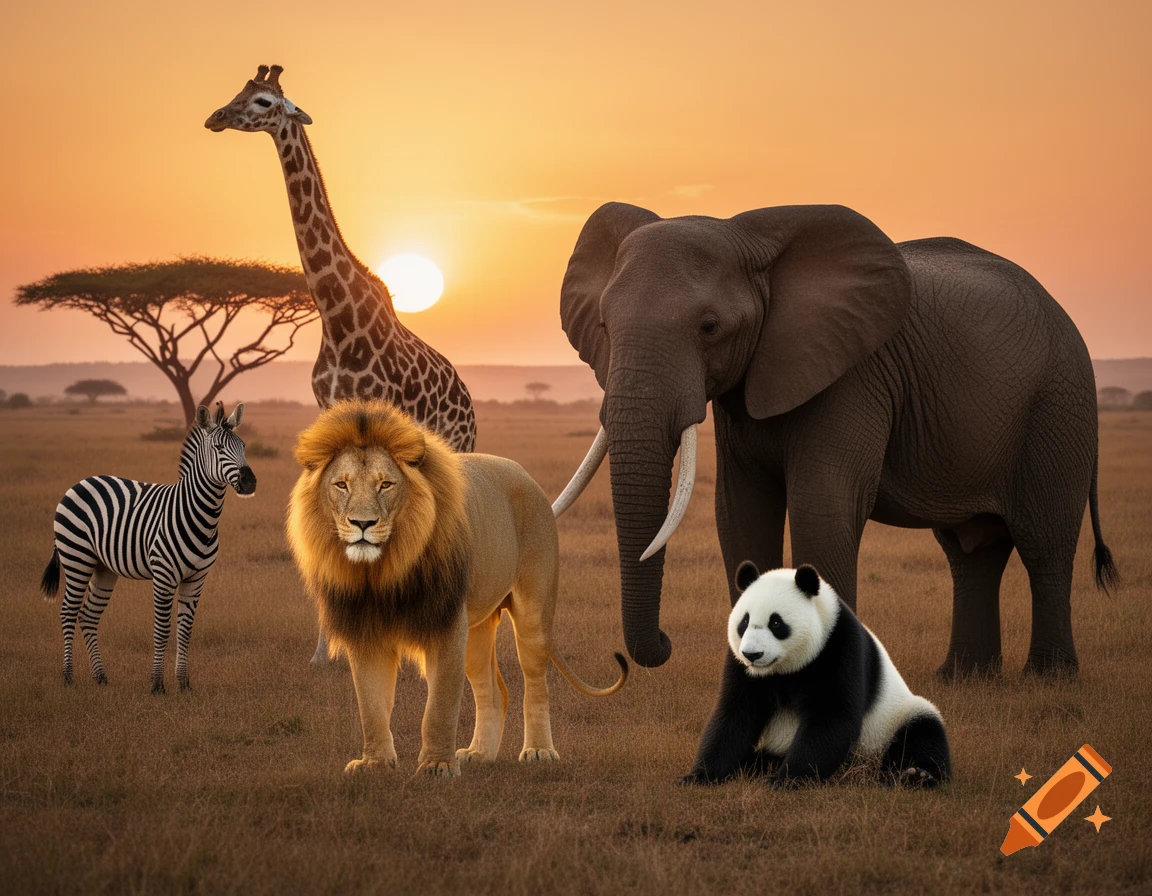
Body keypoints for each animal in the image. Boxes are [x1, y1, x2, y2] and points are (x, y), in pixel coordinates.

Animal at [39, 402, 257, 694]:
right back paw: (68, 677)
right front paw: (157, 685)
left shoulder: (196, 578)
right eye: (219, 448)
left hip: (103, 568)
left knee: (88, 616)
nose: (250, 482)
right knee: (68, 612)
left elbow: (185, 630)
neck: (201, 517)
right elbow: (162, 630)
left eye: (243, 446)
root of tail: (81, 482)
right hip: (76, 558)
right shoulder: (163, 575)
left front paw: (184, 683)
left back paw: (100, 677)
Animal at [286, 400, 627, 776]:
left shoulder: (447, 625)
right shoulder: (365, 631)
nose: (363, 523)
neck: (384, 571)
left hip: (533, 614)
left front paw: (437, 766)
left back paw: (539, 750)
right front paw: (375, 763)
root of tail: (526, 477)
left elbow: (439, 707)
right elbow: (371, 705)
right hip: (476, 628)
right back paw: (480, 753)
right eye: (341, 485)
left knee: (536, 682)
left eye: (386, 484)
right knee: (495, 690)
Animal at [553, 202, 1117, 679]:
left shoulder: (854, 377)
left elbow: (822, 508)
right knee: (971, 551)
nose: (662, 645)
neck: (750, 238)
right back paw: (962, 678)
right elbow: (740, 511)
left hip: (1058, 407)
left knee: (1044, 544)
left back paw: (1048, 678)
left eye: (709, 327)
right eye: (603, 324)